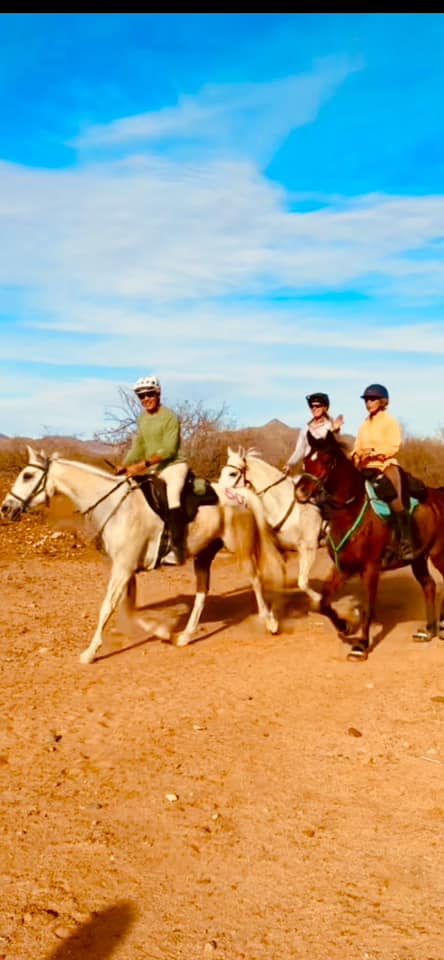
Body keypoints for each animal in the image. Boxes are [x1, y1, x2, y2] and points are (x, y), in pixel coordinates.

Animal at [0, 446, 284, 664]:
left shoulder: (123, 569)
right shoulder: (127, 570)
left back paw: (270, 623)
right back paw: (185, 636)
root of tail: (237, 494)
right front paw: (163, 632)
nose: (6, 507)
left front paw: (90, 652)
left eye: (27, 475)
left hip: (239, 549)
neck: (116, 506)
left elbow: (107, 607)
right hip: (203, 556)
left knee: (255, 579)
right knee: (202, 594)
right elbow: (129, 609)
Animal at [294, 430, 444, 660]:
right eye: (306, 460)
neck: (351, 510)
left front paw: (361, 646)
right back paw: (427, 631)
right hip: (419, 559)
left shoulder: (371, 569)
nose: (300, 491)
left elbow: (368, 606)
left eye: (327, 460)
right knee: (429, 586)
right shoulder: (343, 568)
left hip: (438, 554)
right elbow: (322, 602)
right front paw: (344, 626)